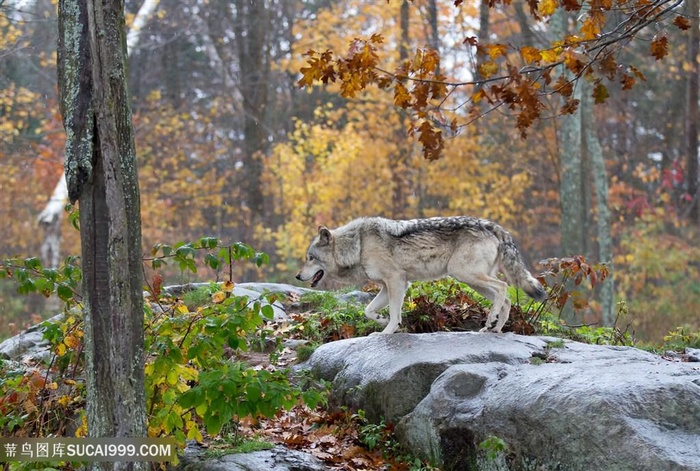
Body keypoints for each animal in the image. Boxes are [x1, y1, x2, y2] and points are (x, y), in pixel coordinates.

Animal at [296, 218, 548, 336]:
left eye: (310, 258)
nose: (298, 276)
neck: (358, 245)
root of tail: (493, 225)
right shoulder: (388, 286)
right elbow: (368, 310)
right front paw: (379, 321)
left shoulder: (396, 281)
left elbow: (394, 315)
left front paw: (386, 331)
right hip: (471, 280)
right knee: (505, 299)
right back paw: (494, 328)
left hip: (465, 274)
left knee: (503, 287)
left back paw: (491, 322)